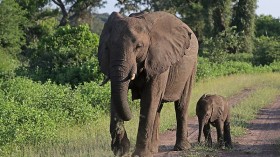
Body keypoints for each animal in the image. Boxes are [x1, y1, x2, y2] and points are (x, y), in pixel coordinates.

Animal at [98, 11, 199, 157]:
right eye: (107, 47)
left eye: (138, 47)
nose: (131, 116)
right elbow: (116, 97)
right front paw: (121, 151)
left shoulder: (159, 59)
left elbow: (149, 99)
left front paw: (138, 154)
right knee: (158, 107)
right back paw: (153, 150)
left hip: (192, 66)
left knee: (181, 105)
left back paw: (181, 148)